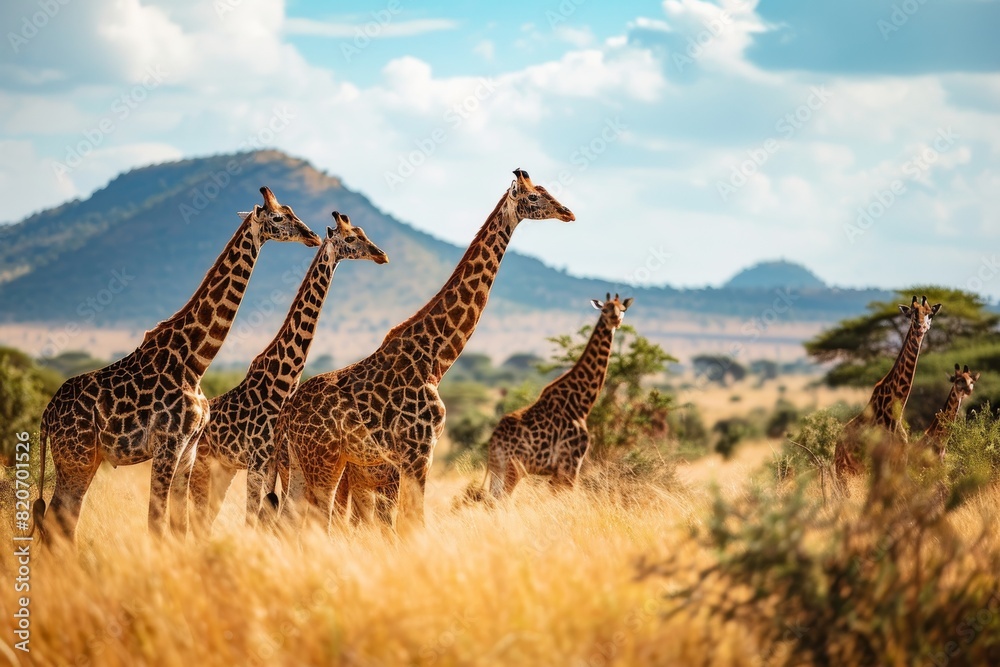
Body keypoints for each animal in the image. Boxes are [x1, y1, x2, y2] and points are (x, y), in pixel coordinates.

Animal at [32, 187, 321, 542]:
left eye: (292, 211)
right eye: (279, 217)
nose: (312, 235)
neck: (194, 361)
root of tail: (46, 415)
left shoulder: (189, 451)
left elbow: (179, 525)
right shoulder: (169, 446)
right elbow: (156, 523)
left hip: (84, 458)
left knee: (62, 519)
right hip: (77, 457)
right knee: (58, 518)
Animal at [178, 212, 389, 536]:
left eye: (363, 232)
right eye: (351, 238)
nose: (381, 254)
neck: (284, 379)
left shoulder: (271, 462)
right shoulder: (259, 460)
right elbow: (257, 517)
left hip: (223, 468)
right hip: (202, 464)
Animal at [274, 168, 575, 532]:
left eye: (546, 191)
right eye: (533, 197)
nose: (568, 213)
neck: (436, 358)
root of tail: (287, 416)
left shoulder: (408, 458)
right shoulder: (419, 452)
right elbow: (412, 522)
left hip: (300, 463)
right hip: (325, 460)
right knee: (319, 520)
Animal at [486, 294, 632, 499]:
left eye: (623, 310)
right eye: (604, 310)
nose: (616, 321)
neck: (581, 404)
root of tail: (494, 442)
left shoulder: (558, 470)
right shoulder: (571, 464)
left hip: (498, 469)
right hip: (514, 468)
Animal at [834, 295, 942, 477]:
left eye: (929, 314)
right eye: (913, 314)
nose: (920, 327)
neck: (895, 412)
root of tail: (837, 445)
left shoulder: (900, 463)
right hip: (844, 471)